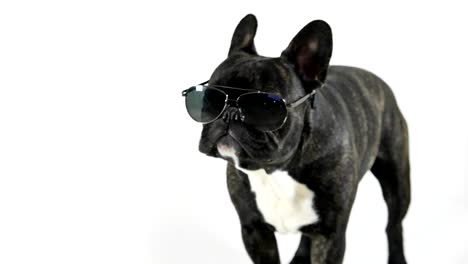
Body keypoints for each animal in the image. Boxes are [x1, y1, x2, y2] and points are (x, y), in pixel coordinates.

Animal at [190, 14, 410, 264]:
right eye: (210, 97)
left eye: (264, 106)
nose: (229, 113)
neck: (278, 169)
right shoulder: (255, 231)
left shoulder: (330, 236)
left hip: (397, 182)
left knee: (394, 224)